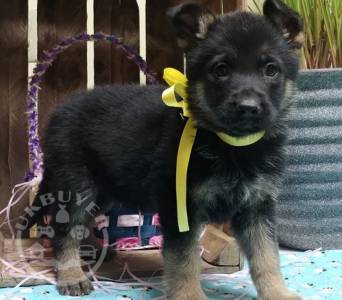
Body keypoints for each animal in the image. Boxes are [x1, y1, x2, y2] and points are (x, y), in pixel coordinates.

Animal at [24, 1, 304, 298]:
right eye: (221, 70)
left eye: (271, 69)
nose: (248, 107)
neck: (229, 145)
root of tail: (58, 112)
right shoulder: (180, 207)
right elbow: (184, 260)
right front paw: (189, 295)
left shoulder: (257, 208)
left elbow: (267, 257)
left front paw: (278, 292)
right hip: (77, 185)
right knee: (64, 229)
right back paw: (71, 274)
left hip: (103, 189)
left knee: (83, 223)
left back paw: (94, 251)